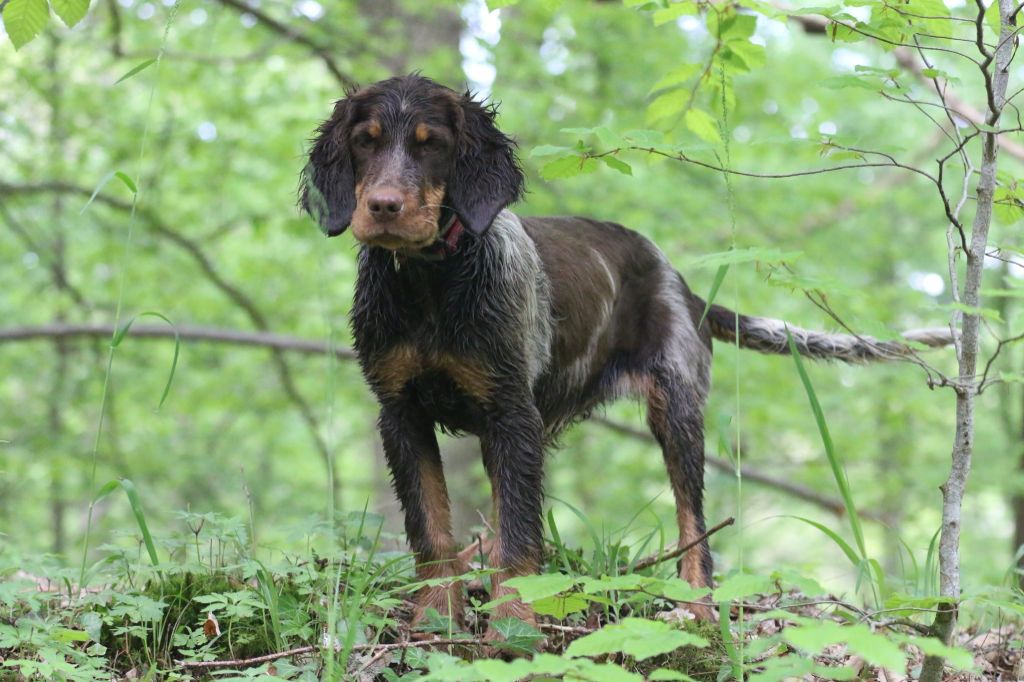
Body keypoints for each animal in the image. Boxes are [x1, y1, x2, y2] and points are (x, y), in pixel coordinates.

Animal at [299, 74, 949, 639]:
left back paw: (700, 613)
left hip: (677, 410)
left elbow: (518, 539)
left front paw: (513, 628)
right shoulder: (400, 414)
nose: (383, 207)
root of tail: (683, 283)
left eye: (431, 146)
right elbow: (431, 530)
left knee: (695, 525)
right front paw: (437, 619)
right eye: (365, 141)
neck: (431, 283)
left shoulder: (511, 415)